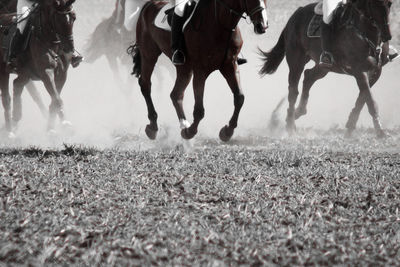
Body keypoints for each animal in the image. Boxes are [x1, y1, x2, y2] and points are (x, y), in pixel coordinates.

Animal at [0, 0, 76, 138]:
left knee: (17, 84)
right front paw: (62, 126)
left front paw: (52, 127)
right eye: (57, 19)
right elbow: (57, 99)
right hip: (3, 70)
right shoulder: (46, 72)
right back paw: (9, 132)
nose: (69, 48)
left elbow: (55, 99)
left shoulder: (62, 74)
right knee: (6, 98)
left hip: (25, 73)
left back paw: (16, 118)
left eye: (74, 17)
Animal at [131, 0, 268, 142]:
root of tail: (148, 5)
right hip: (149, 55)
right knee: (146, 85)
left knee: (176, 94)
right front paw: (190, 132)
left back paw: (183, 124)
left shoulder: (230, 66)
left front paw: (227, 131)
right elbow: (199, 110)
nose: (262, 26)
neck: (220, 24)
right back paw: (153, 126)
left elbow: (239, 98)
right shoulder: (200, 70)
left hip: (184, 68)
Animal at [260, 0, 394, 138]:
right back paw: (290, 126)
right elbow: (370, 100)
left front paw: (350, 125)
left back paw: (297, 113)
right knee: (293, 91)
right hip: (296, 61)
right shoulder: (359, 71)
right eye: (374, 5)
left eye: (390, 4)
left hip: (324, 67)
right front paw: (380, 131)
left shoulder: (375, 71)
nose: (387, 36)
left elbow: (362, 99)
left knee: (308, 77)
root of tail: (295, 15)